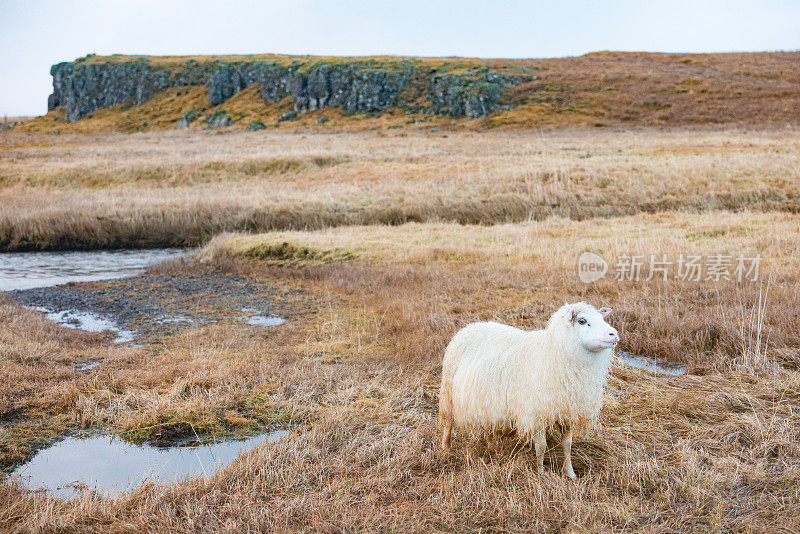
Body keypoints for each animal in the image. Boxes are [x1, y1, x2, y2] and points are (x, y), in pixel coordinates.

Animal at [438, 302, 620, 482]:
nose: (614, 334)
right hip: (448, 391)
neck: (553, 354)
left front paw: (570, 473)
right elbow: (541, 446)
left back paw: (491, 448)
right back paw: (446, 448)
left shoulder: (567, 410)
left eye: (602, 317)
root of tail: (471, 326)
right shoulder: (536, 414)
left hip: (487, 401)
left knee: (489, 426)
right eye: (582, 321)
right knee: (448, 422)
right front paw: (540, 473)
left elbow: (567, 444)